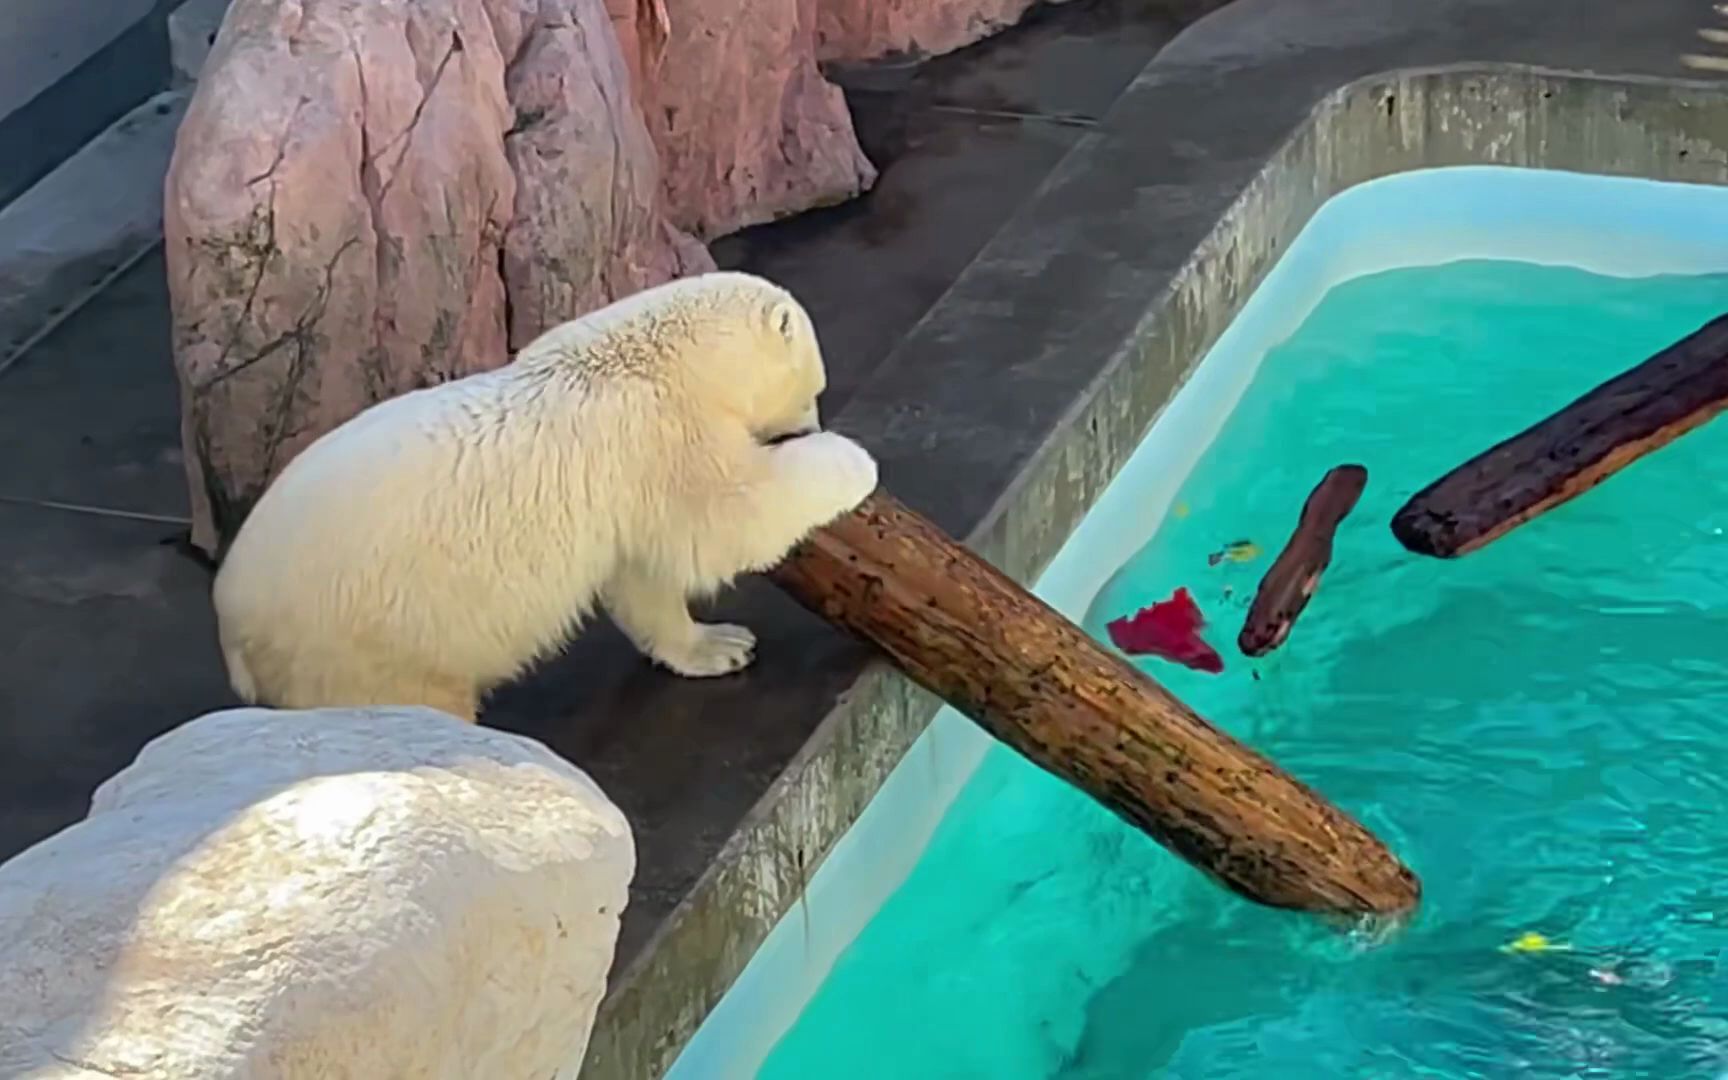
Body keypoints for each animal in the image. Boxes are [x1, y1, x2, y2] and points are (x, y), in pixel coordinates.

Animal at [211, 271, 878, 722]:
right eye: (814, 389)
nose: (809, 427)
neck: (658, 357)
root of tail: (230, 622)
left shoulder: (626, 490)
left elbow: (643, 573)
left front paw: (720, 646)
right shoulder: (654, 432)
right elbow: (724, 519)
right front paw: (854, 462)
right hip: (360, 642)